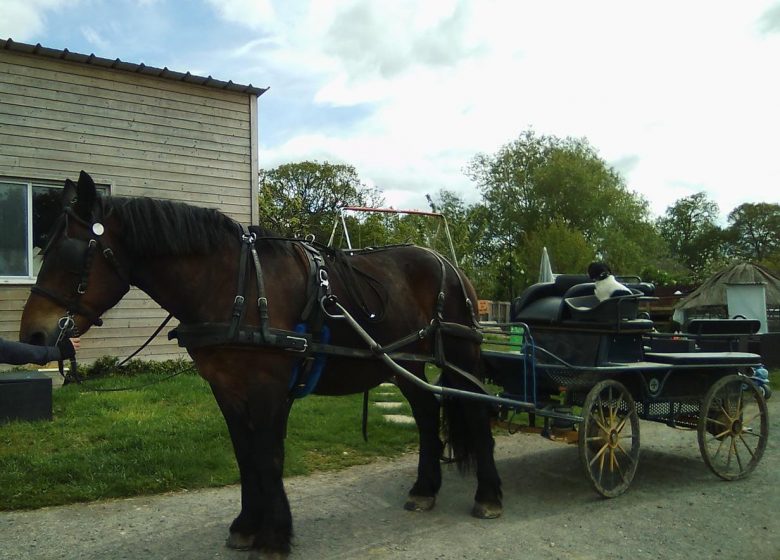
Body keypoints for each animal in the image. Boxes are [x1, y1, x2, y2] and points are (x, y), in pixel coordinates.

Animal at [22, 171, 506, 556]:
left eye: (69, 254)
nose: (33, 336)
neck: (235, 286)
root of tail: (449, 265)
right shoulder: (227, 388)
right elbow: (245, 455)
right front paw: (247, 527)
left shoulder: (269, 388)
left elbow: (269, 456)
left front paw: (274, 537)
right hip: (405, 364)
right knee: (425, 415)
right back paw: (425, 489)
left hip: (460, 356)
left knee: (476, 414)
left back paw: (489, 495)